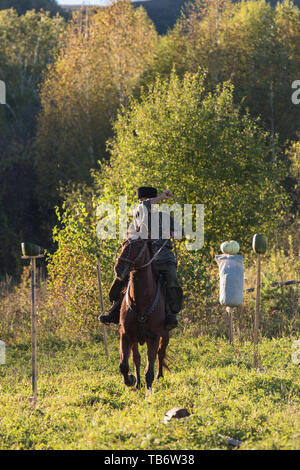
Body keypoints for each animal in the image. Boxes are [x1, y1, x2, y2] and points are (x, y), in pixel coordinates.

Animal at [113, 239, 170, 390]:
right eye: (123, 244)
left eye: (138, 245)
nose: (119, 268)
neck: (141, 301)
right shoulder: (125, 335)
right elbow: (124, 365)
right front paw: (130, 380)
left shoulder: (154, 337)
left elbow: (149, 369)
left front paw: (148, 389)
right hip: (134, 339)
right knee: (136, 359)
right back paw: (138, 383)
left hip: (165, 334)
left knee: (161, 353)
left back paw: (160, 376)